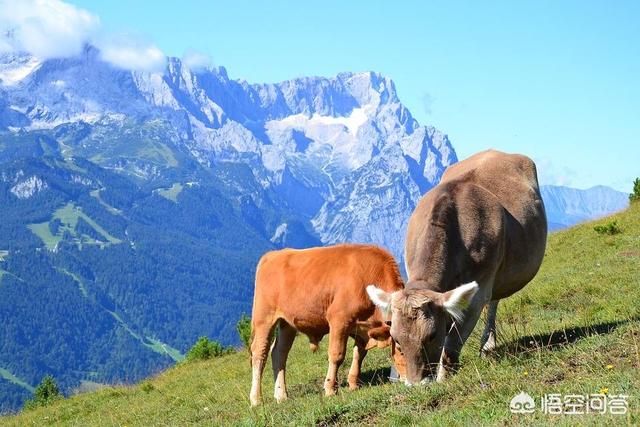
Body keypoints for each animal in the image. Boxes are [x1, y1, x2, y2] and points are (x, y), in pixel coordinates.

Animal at [249, 244, 404, 408]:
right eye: (400, 348)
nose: (412, 382)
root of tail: (272, 255)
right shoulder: (339, 319)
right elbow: (337, 355)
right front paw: (330, 389)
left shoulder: (361, 329)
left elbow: (359, 354)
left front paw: (353, 384)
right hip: (264, 318)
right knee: (259, 353)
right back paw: (256, 399)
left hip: (287, 323)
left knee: (279, 352)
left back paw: (281, 395)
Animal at [368, 150, 548, 384]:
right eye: (396, 339)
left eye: (432, 335)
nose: (416, 384)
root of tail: (494, 152)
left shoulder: (477, 294)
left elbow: (451, 347)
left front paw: (443, 379)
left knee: (493, 303)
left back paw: (488, 346)